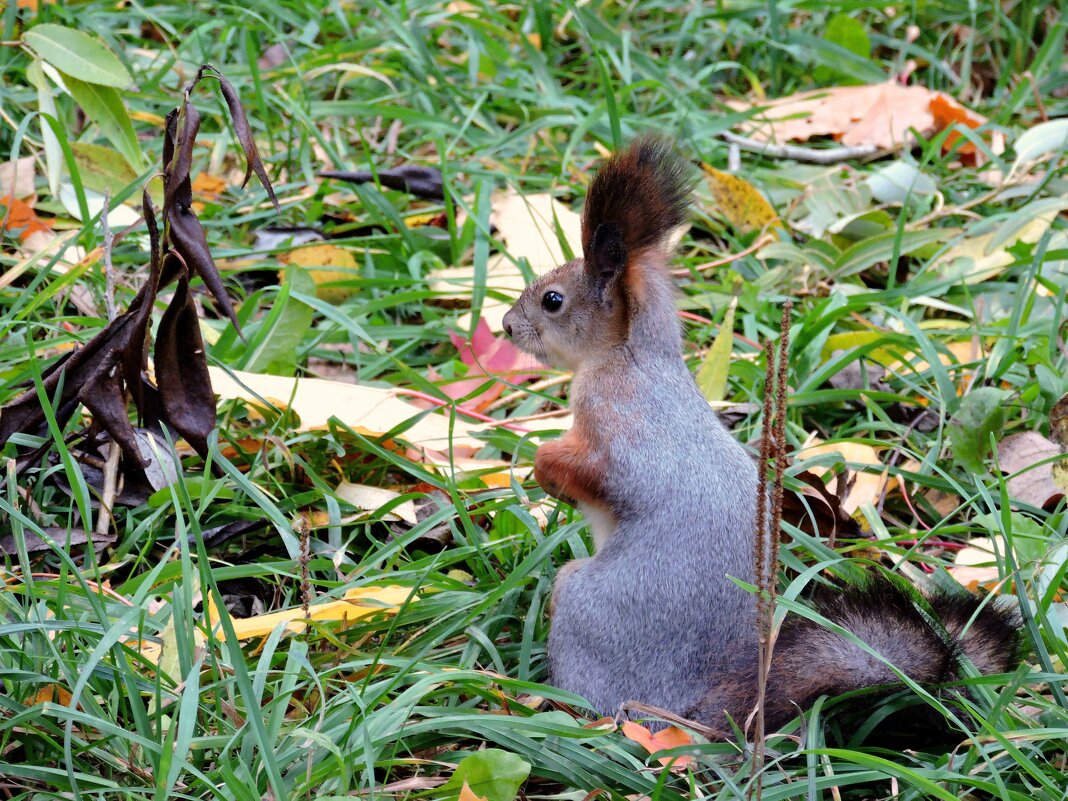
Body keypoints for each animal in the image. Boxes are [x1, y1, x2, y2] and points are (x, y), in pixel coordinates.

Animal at [499, 136, 1016, 739]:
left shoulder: (618, 417)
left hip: (586, 608)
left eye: (553, 300)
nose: (507, 325)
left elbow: (605, 474)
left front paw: (545, 467)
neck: (633, 352)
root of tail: (701, 704)